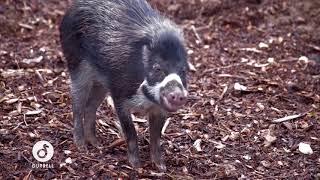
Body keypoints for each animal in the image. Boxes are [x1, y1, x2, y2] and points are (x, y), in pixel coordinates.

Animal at [59, 0, 189, 172]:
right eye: (157, 68)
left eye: (183, 70)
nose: (178, 95)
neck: (146, 101)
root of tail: (71, 8)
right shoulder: (120, 97)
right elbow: (131, 132)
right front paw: (137, 167)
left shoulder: (159, 110)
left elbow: (156, 137)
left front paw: (161, 167)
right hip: (77, 67)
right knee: (77, 106)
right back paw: (82, 147)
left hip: (101, 83)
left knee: (90, 107)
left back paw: (97, 145)